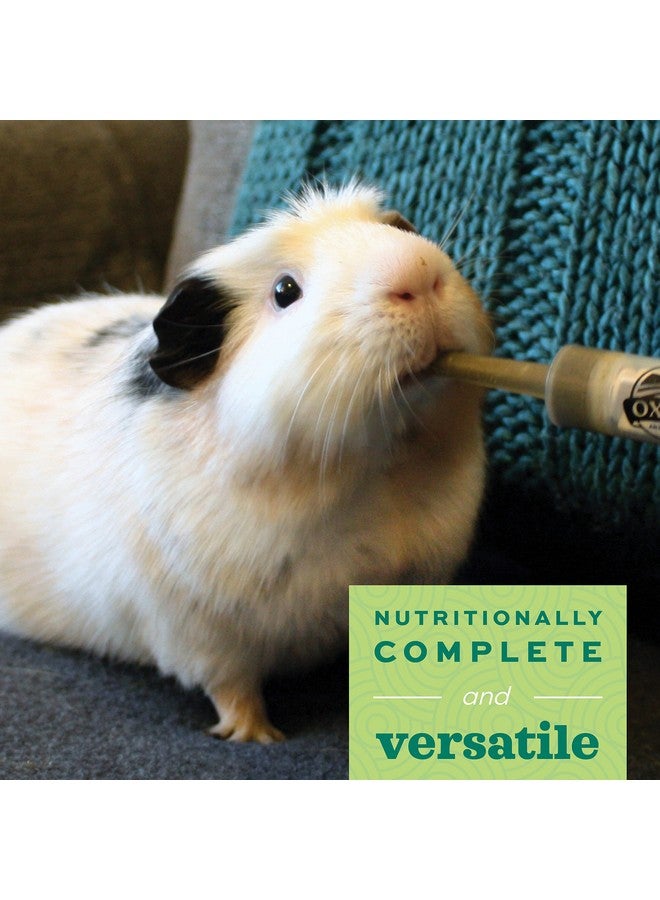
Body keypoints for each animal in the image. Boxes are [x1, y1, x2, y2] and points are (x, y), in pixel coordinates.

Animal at [0, 181, 492, 742]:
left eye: (397, 229)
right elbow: (233, 689)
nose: (418, 274)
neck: (381, 471)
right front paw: (261, 737)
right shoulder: (202, 635)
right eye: (284, 290)